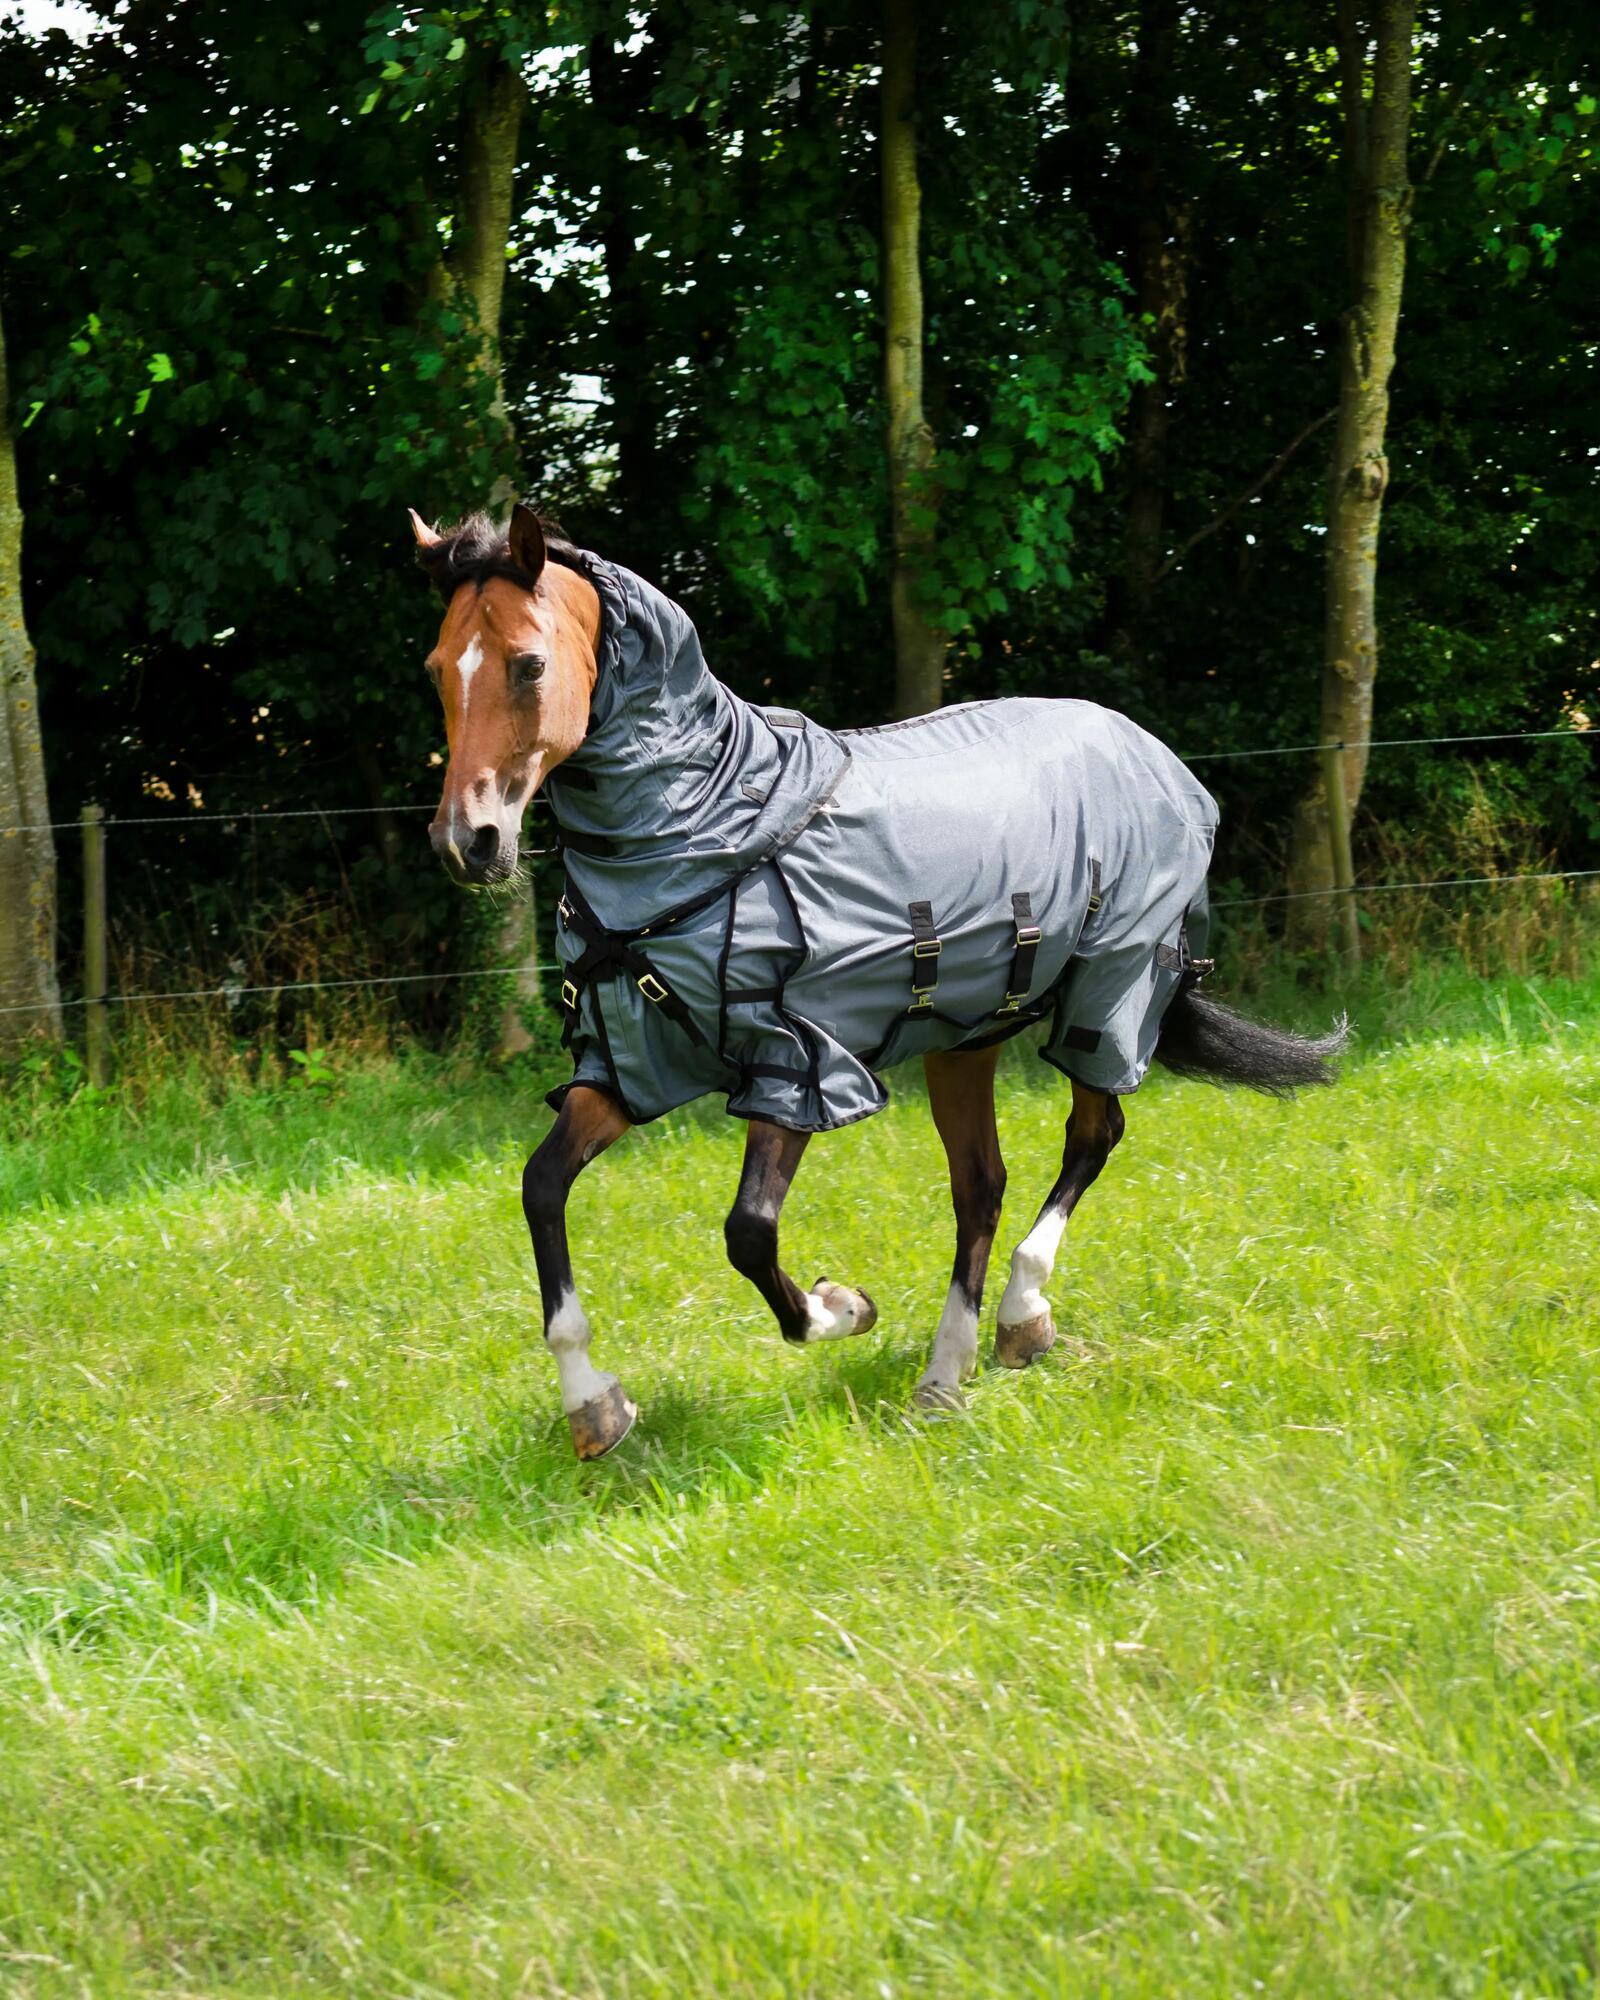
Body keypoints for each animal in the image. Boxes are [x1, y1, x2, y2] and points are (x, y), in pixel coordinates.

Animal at [410, 502, 1345, 1460]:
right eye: (439, 669)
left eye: (528, 664)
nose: (468, 842)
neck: (712, 821)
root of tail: (1156, 756)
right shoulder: (630, 1068)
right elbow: (542, 1187)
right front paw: (595, 1406)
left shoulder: (797, 1067)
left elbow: (749, 1234)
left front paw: (843, 1307)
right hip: (965, 1037)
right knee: (982, 1187)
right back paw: (946, 1374)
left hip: (1109, 995)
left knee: (1093, 1136)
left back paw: (1022, 1314)